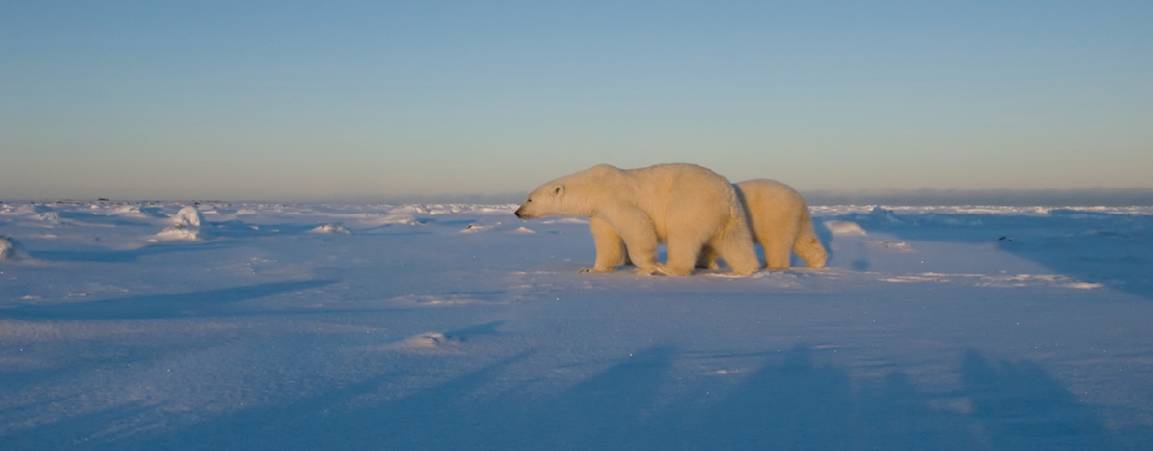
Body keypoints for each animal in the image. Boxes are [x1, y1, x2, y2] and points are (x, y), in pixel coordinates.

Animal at [514, 162, 756, 275]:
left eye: (530, 199)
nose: (517, 212)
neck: (592, 187)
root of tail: (725, 192)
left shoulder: (615, 199)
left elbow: (637, 226)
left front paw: (646, 266)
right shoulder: (600, 212)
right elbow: (607, 241)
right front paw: (592, 269)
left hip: (690, 204)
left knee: (683, 236)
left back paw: (669, 269)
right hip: (730, 215)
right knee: (735, 241)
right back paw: (746, 270)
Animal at [696, 178, 825, 272]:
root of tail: (800, 199)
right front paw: (707, 264)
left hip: (775, 216)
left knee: (776, 243)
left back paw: (773, 266)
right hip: (799, 220)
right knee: (804, 239)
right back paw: (818, 262)